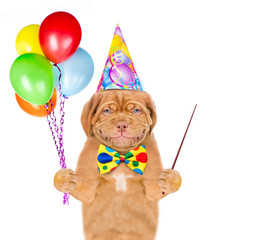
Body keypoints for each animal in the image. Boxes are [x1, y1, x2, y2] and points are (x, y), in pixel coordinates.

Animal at [54, 89, 182, 239]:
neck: (121, 155)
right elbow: (82, 187)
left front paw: (170, 178)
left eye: (136, 110)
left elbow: (157, 189)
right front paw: (65, 178)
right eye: (107, 111)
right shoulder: (89, 187)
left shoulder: (151, 186)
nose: (122, 124)